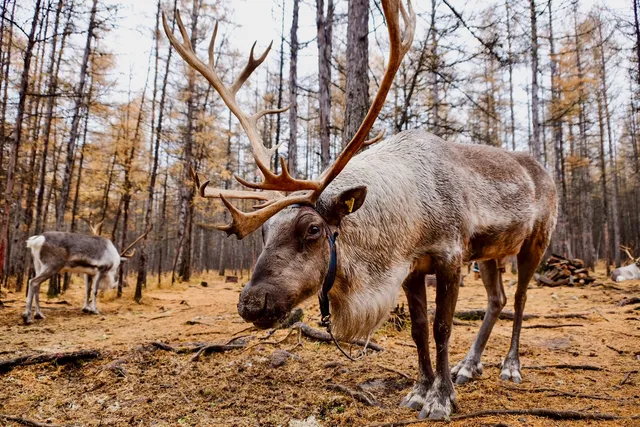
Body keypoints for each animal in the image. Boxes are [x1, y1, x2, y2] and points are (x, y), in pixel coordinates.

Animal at [163, 0, 557, 420]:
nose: (252, 303)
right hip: (489, 253)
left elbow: (441, 328)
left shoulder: (450, 256)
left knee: (520, 299)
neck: (407, 221)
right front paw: (419, 390)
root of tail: (545, 170)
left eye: (313, 229)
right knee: (497, 300)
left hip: (535, 242)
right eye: (265, 231)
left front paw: (440, 399)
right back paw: (470, 365)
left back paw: (510, 367)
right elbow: (418, 329)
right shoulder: (412, 269)